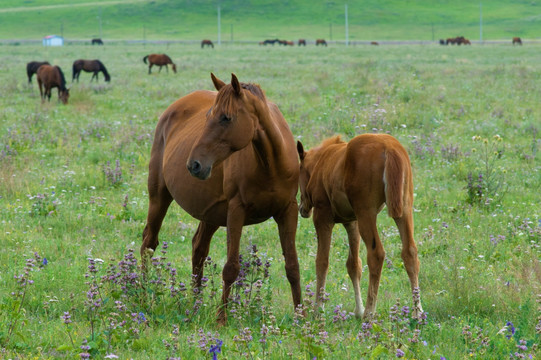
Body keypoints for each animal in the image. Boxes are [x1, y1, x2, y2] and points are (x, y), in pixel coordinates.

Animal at [142, 72, 304, 324]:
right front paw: (221, 319)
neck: (271, 165)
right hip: (159, 198)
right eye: (208, 116)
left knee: (198, 248)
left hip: (211, 214)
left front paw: (302, 317)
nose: (194, 164)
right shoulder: (236, 211)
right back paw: (140, 296)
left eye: (226, 118)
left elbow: (293, 267)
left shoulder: (288, 211)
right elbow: (231, 268)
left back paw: (195, 304)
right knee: (148, 244)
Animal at [298, 134, 424, 320]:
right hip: (404, 209)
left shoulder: (322, 217)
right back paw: (418, 312)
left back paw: (369, 313)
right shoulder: (352, 222)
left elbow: (322, 261)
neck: (322, 163)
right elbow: (353, 264)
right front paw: (358, 310)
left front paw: (318, 310)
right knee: (410, 252)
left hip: (367, 213)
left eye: (298, 174)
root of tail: (390, 147)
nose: (303, 209)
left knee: (376, 254)